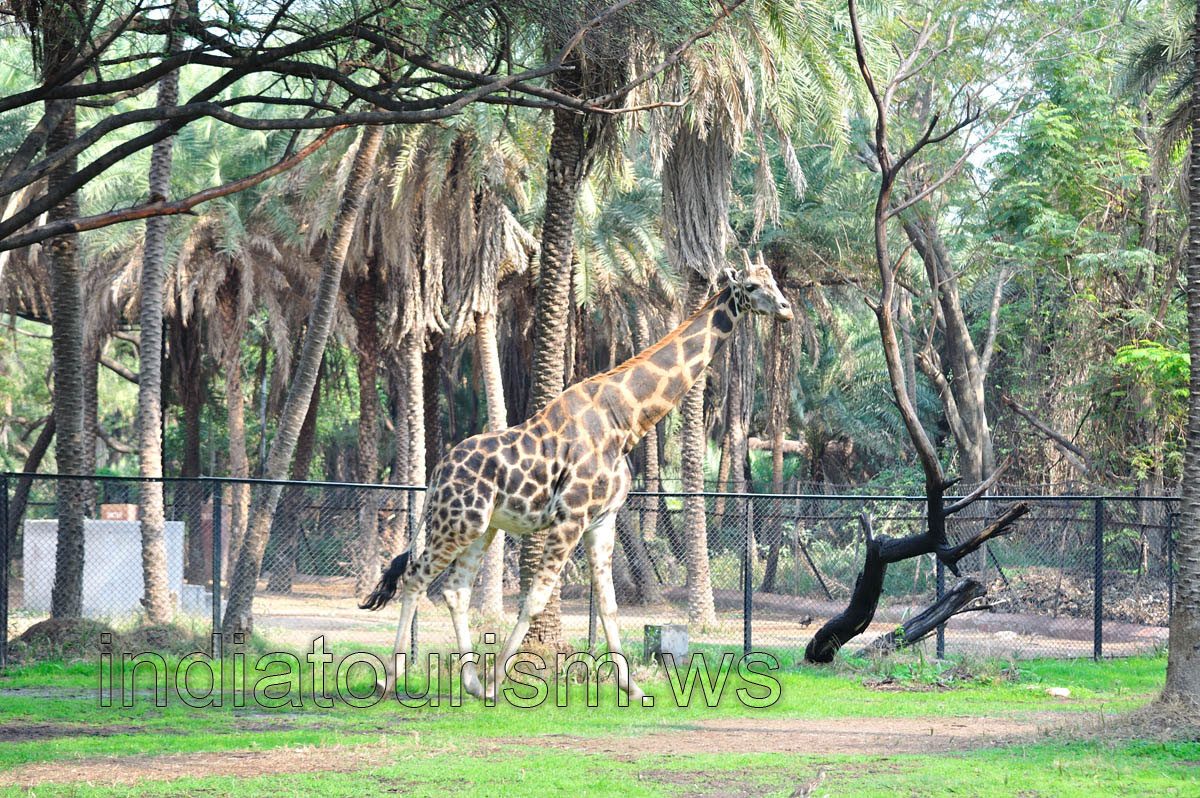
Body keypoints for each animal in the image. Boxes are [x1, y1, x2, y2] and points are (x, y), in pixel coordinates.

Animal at [360, 253, 793, 701]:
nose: (786, 309)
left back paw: (472, 684)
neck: (627, 420)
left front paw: (633, 688)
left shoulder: (602, 520)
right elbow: (535, 599)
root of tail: (437, 472)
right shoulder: (571, 517)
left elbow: (607, 605)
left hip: (482, 527)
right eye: (752, 286)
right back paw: (391, 679)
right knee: (415, 576)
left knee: (455, 588)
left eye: (774, 281)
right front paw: (500, 680)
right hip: (456, 522)